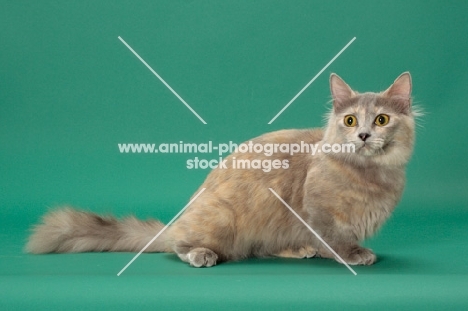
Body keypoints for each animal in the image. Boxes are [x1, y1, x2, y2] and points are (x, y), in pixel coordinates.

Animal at [25, 72, 414, 268]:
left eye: (381, 120)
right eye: (350, 121)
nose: (363, 135)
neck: (371, 176)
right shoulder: (318, 212)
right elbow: (335, 238)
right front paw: (352, 255)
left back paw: (299, 250)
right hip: (221, 217)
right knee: (178, 246)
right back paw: (202, 255)